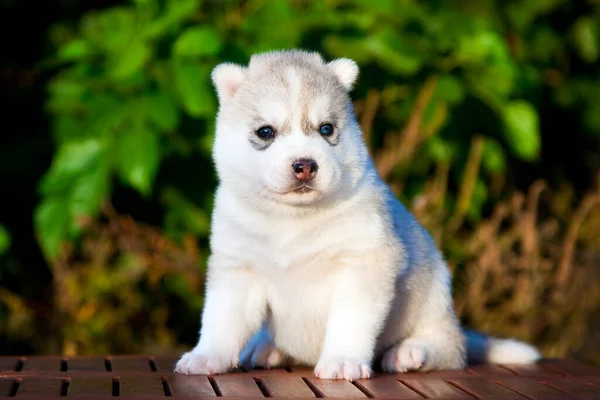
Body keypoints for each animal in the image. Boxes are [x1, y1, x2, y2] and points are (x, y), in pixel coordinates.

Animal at [172, 48, 540, 380]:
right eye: (266, 132)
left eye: (326, 129)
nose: (305, 165)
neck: (292, 222)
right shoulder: (238, 268)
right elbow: (221, 319)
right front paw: (206, 356)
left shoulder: (364, 262)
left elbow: (350, 320)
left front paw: (342, 361)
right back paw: (266, 347)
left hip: (433, 302)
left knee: (450, 348)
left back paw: (410, 351)